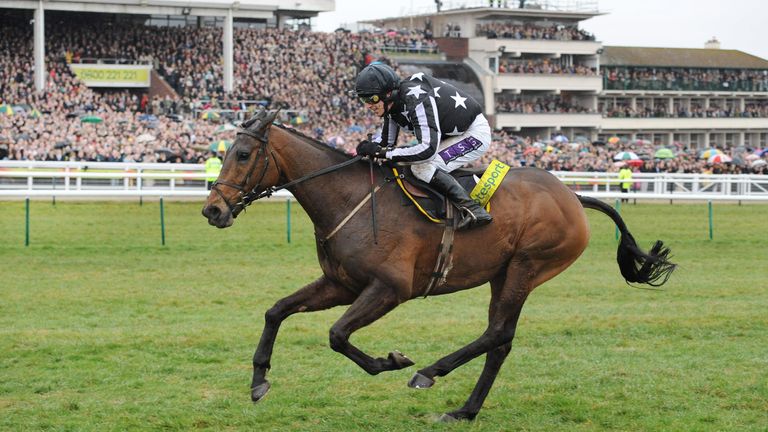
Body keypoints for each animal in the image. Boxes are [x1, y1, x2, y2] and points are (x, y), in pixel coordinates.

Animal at [201, 109, 676, 422]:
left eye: (242, 154)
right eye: (224, 152)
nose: (213, 210)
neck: (351, 199)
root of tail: (573, 196)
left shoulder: (390, 288)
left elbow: (337, 335)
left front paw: (392, 361)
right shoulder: (341, 284)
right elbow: (276, 311)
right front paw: (259, 380)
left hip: (527, 266)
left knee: (496, 333)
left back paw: (429, 373)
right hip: (504, 273)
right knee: (501, 340)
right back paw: (465, 409)